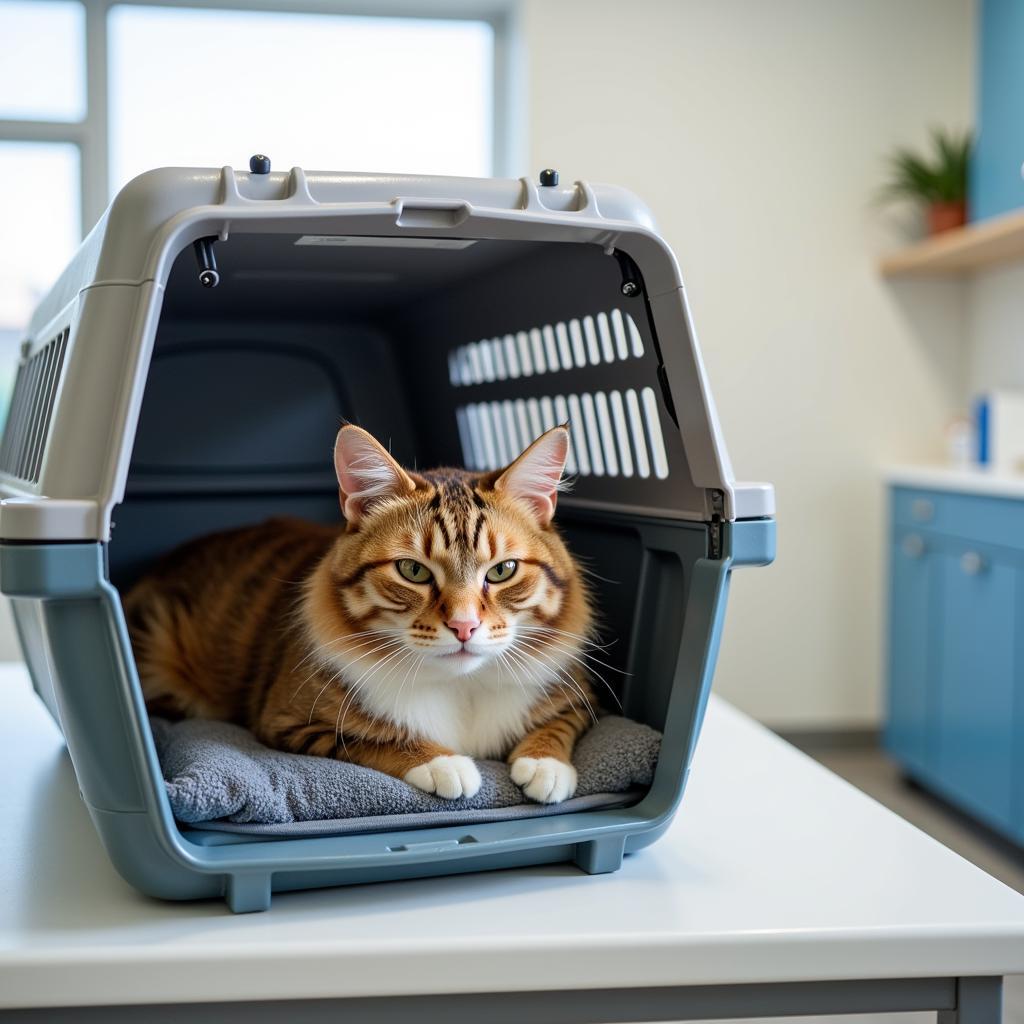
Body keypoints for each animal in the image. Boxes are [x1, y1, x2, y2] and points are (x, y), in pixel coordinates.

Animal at [123, 425, 598, 806]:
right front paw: (443, 763)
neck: (458, 686)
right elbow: (378, 738)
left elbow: (559, 723)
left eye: (502, 571)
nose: (464, 626)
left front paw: (545, 764)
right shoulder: (289, 720)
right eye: (413, 571)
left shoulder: (580, 698)